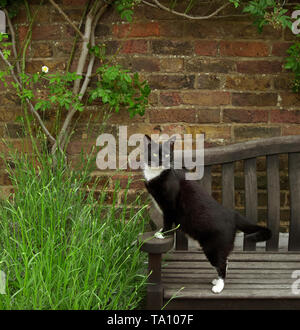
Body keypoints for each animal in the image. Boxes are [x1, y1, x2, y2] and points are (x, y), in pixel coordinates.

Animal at [143, 134, 272, 294]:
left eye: (167, 154)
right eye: (155, 154)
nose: (162, 161)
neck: (156, 174)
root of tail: (233, 215)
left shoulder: (169, 206)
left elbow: (167, 220)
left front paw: (163, 233)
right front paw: (161, 231)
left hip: (213, 246)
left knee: (221, 263)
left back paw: (219, 286)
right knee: (225, 260)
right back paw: (217, 279)